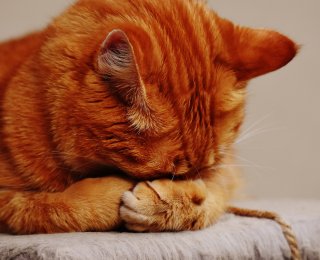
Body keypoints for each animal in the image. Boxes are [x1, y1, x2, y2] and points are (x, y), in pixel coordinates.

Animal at [0, 0, 298, 235]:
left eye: (200, 171)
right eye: (164, 173)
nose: (182, 184)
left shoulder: (227, 172)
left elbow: (214, 194)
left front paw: (173, 203)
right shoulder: (10, 203)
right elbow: (49, 206)